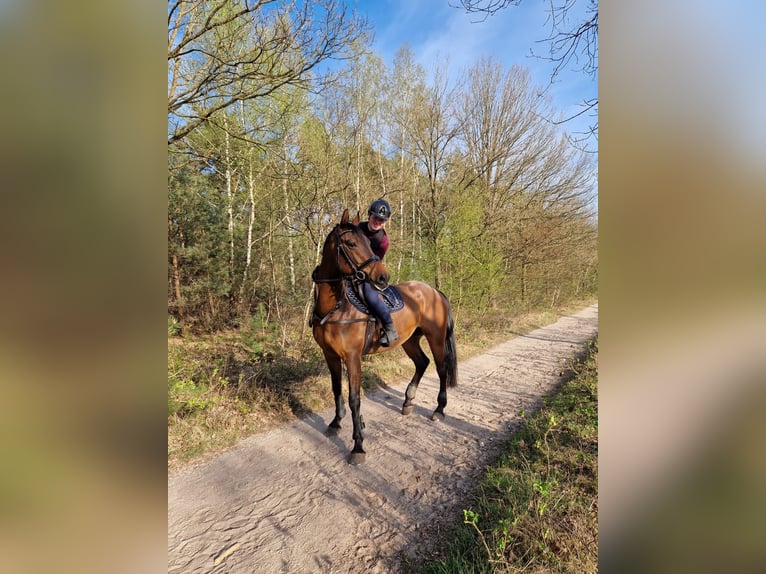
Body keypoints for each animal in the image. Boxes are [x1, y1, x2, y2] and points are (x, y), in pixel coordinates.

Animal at [311, 208, 458, 464]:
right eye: (351, 243)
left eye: (369, 245)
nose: (382, 278)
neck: (335, 307)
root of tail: (434, 291)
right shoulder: (329, 354)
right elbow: (337, 389)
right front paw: (336, 423)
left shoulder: (352, 357)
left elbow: (354, 398)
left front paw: (358, 445)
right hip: (410, 340)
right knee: (422, 362)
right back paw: (408, 401)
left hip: (436, 338)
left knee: (441, 369)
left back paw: (439, 410)